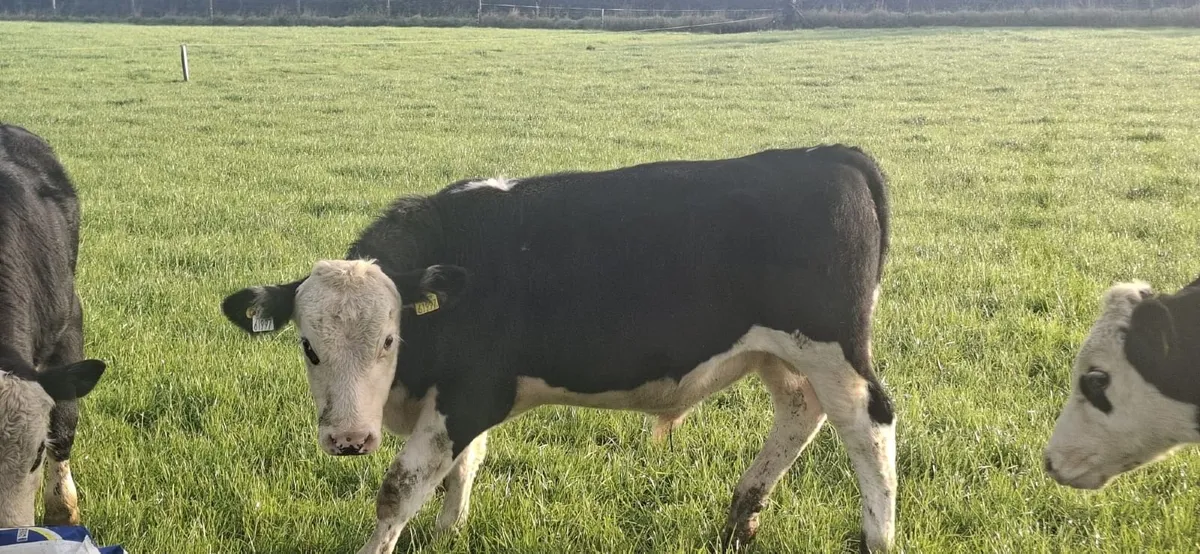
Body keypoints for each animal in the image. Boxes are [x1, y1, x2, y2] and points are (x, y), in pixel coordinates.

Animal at [221, 145, 897, 553]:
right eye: (309, 347)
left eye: (390, 338)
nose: (348, 440)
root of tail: (828, 154)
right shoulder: (457, 399)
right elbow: (463, 466)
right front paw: (449, 532)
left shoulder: (472, 394)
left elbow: (400, 487)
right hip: (782, 355)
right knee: (801, 413)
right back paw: (740, 517)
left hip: (833, 348)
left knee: (870, 424)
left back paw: (878, 537)